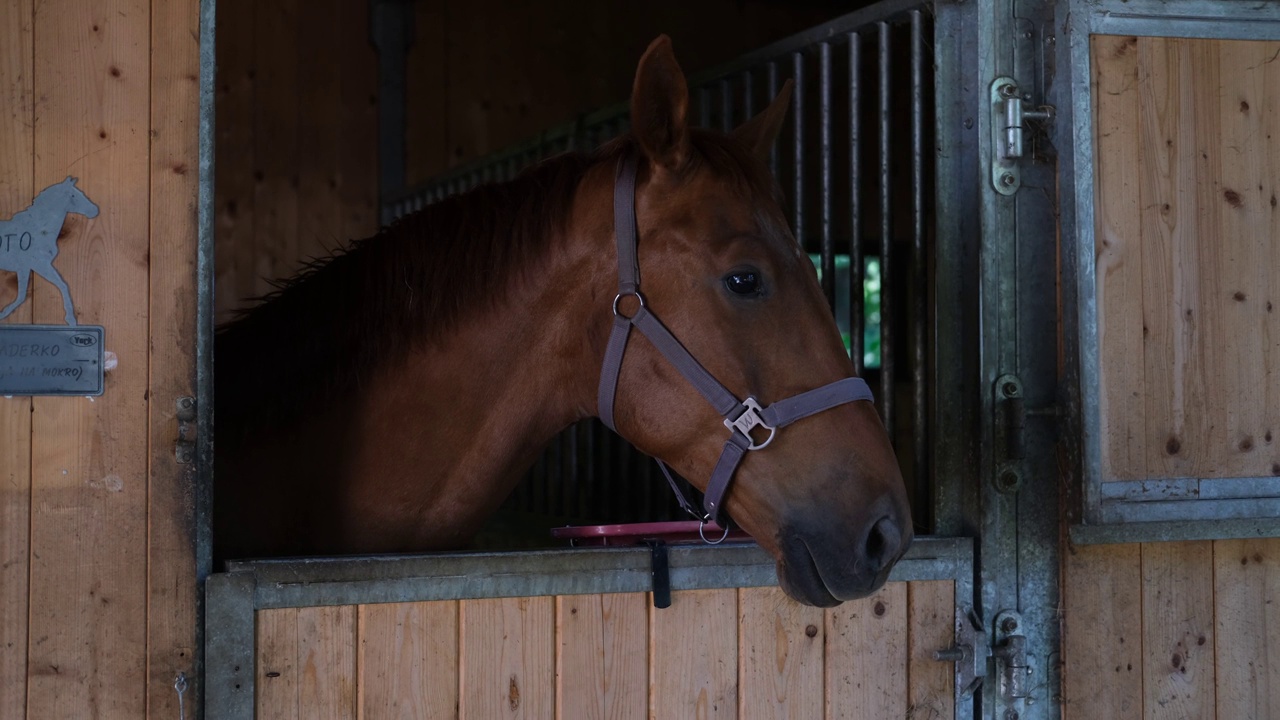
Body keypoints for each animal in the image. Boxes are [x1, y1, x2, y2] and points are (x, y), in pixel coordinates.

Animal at [0, 176, 99, 325]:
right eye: (73, 195)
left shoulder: (25, 267)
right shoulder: (39, 264)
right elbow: (63, 285)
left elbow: (21, 296)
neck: (38, 229)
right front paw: (71, 319)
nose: (94, 210)